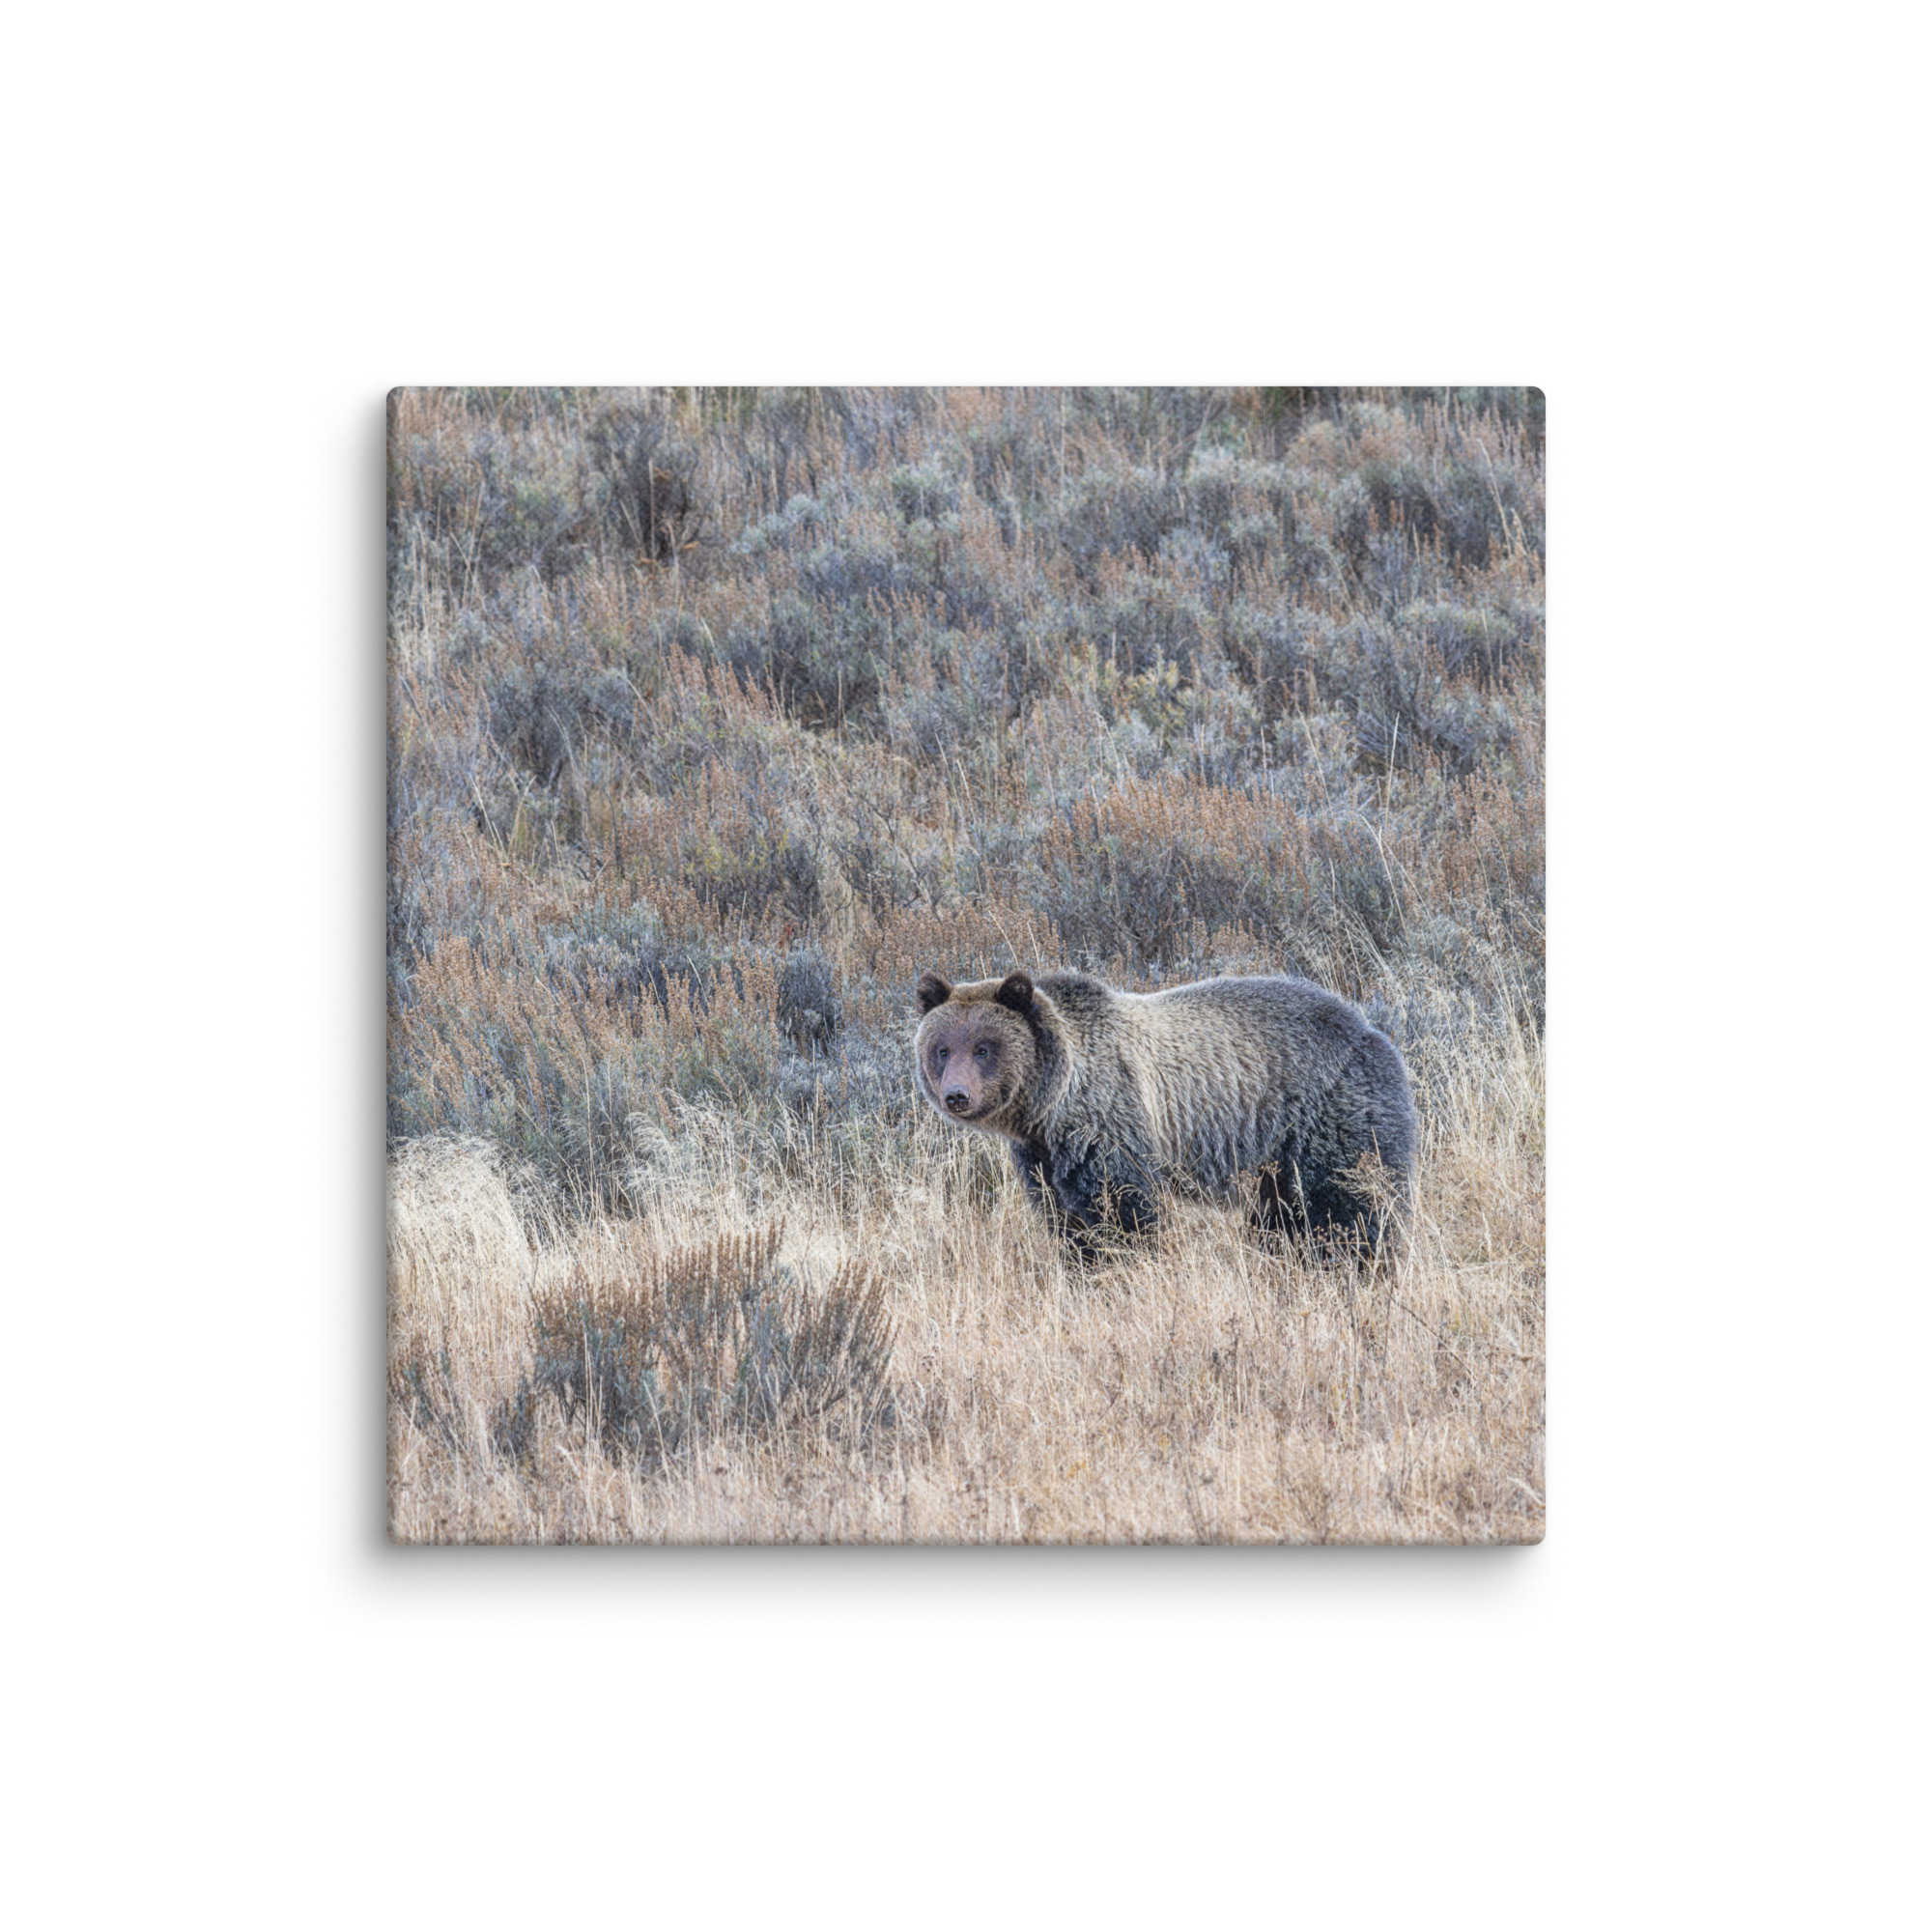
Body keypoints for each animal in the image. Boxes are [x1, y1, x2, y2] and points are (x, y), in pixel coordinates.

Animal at [912, 967, 1415, 1254]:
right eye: (942, 1049)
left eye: (984, 1048)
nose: (957, 1095)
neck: (1051, 1105)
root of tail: (1372, 1031)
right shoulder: (1042, 1157)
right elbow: (1065, 1219)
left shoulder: (1109, 1123)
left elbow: (1123, 1213)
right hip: (1276, 1161)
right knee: (1282, 1218)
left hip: (1329, 1117)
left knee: (1349, 1205)